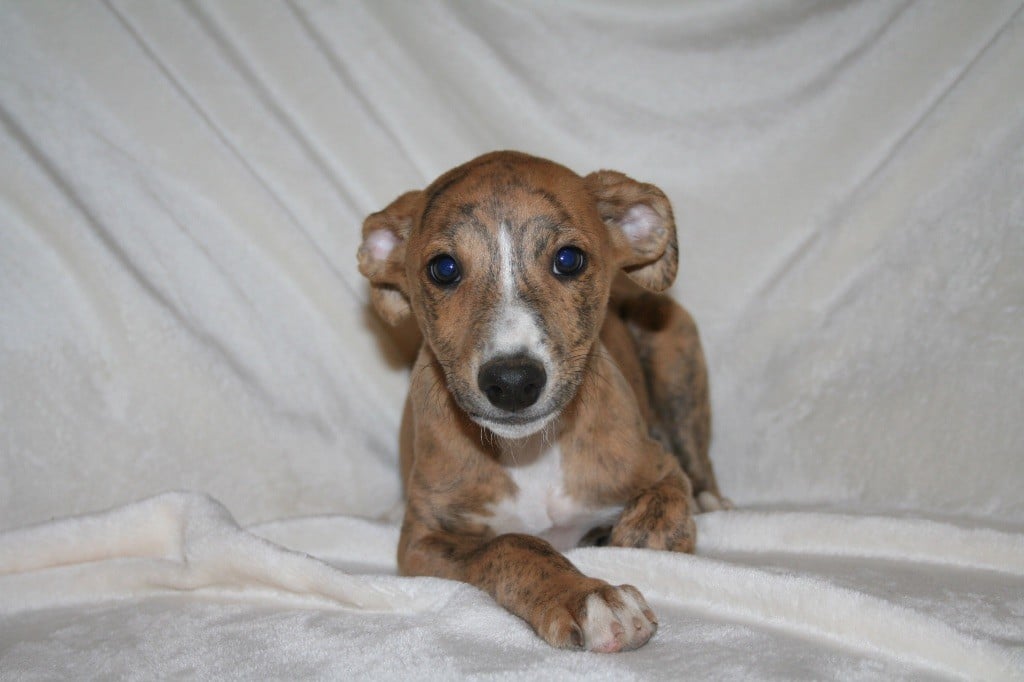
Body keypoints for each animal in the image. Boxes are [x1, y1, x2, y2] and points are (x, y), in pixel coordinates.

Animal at [358, 151, 727, 653]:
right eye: (443, 268)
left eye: (568, 260)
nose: (513, 382)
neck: (530, 452)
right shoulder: (423, 541)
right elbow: (512, 543)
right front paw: (589, 598)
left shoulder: (657, 466)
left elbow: (664, 510)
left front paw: (634, 536)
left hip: (676, 357)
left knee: (697, 460)